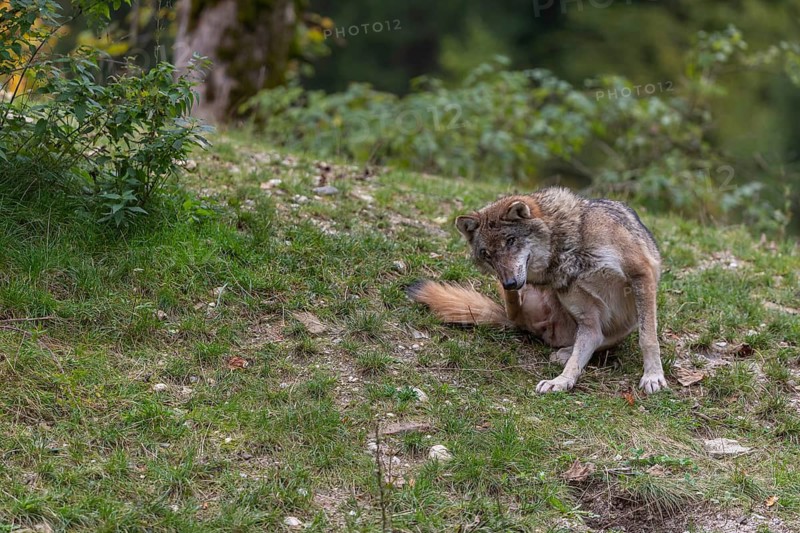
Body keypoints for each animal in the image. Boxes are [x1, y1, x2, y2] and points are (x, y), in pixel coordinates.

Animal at [408, 187, 667, 394]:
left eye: (510, 241)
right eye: (487, 254)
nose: (509, 283)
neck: (569, 247)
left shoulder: (641, 274)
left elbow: (647, 338)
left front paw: (653, 376)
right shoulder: (584, 313)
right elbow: (580, 356)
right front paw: (561, 381)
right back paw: (563, 356)